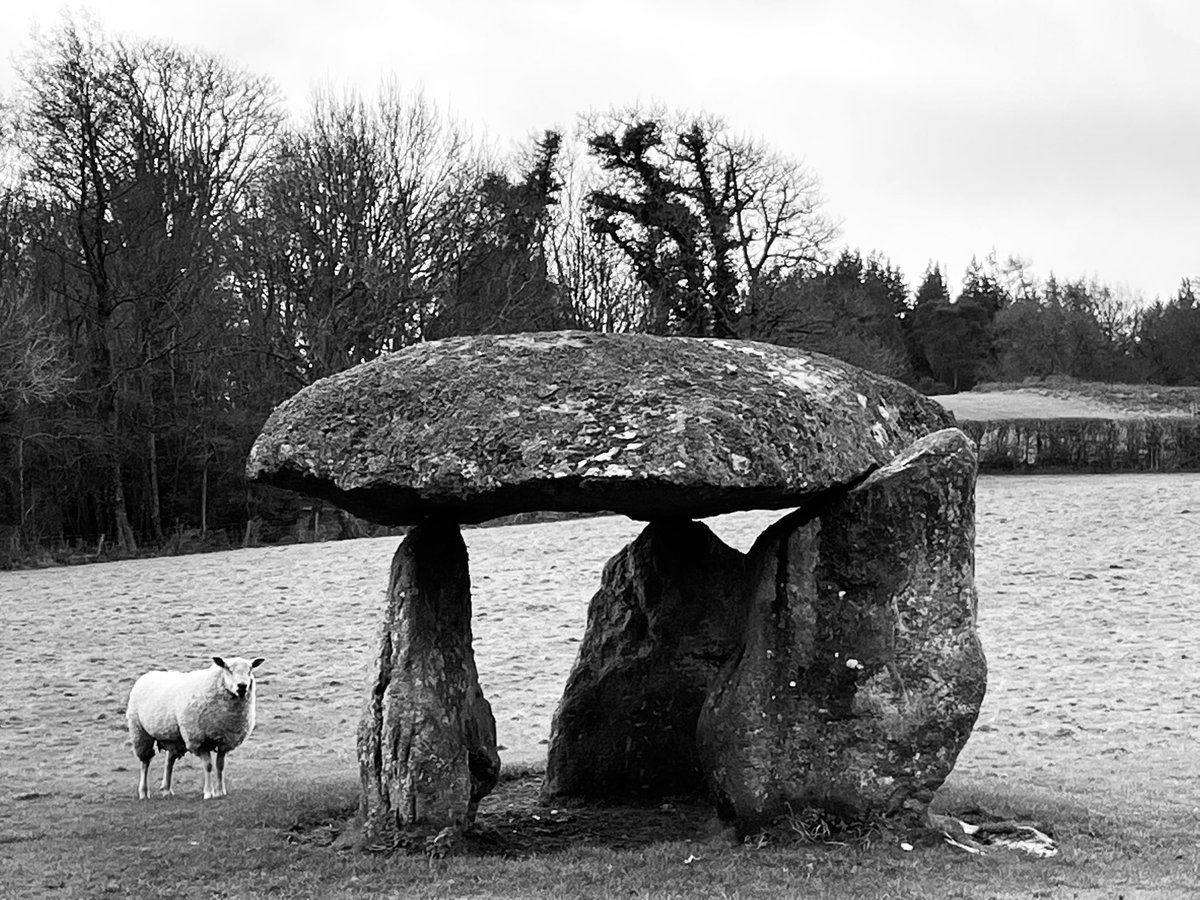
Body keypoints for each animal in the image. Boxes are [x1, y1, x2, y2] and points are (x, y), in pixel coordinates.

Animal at [126, 657, 265, 801]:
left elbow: (220, 766)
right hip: (140, 732)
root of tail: (148, 675)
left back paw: (167, 789)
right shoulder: (198, 740)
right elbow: (208, 765)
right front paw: (208, 792)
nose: (242, 686)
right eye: (228, 669)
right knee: (145, 762)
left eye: (250, 670)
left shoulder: (224, 740)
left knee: (169, 761)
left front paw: (220, 791)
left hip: (174, 738)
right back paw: (143, 792)